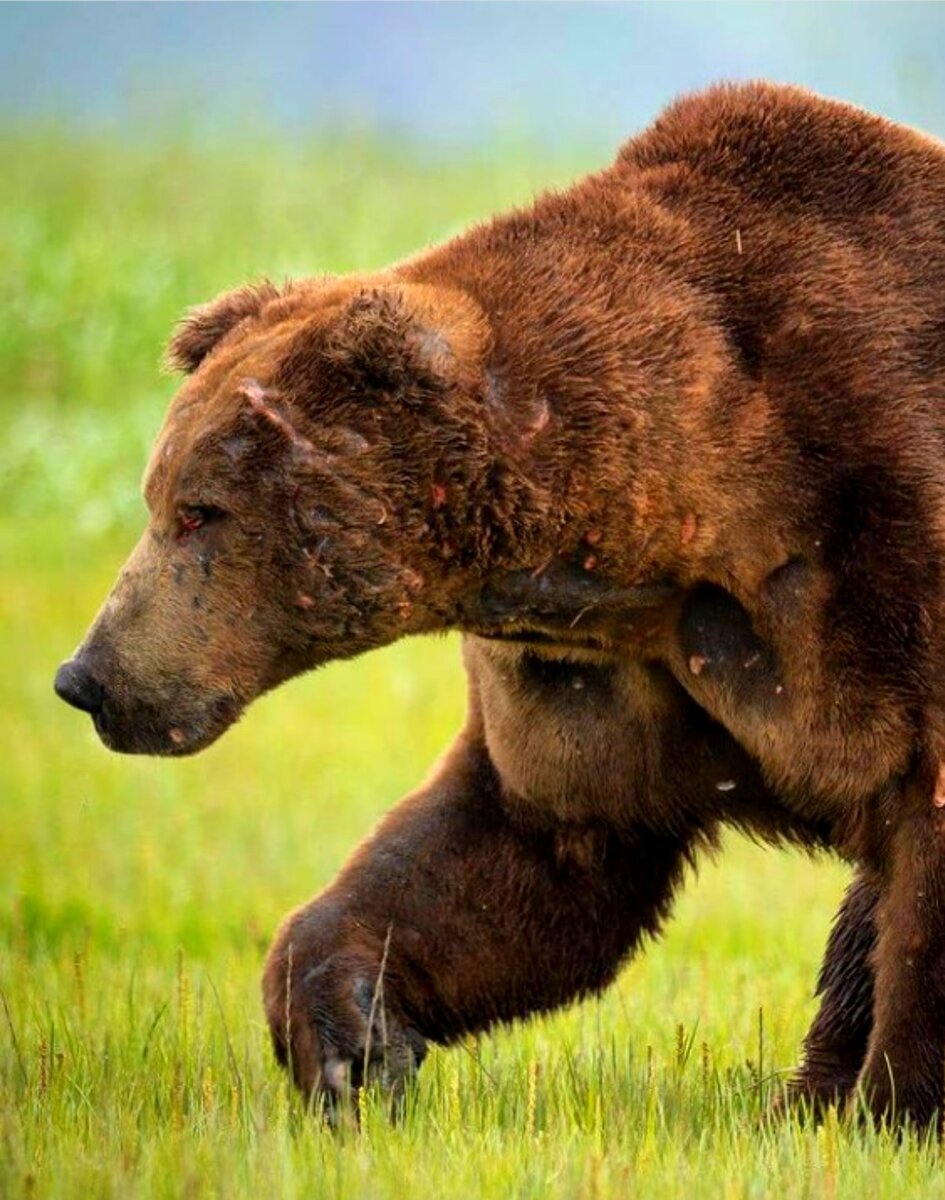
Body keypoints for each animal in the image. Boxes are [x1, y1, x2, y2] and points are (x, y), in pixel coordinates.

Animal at [55, 82, 944, 1123]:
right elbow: (523, 847)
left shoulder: (875, 552)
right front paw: (352, 1042)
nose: (87, 676)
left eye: (200, 510)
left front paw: (895, 1105)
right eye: (156, 497)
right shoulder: (602, 665)